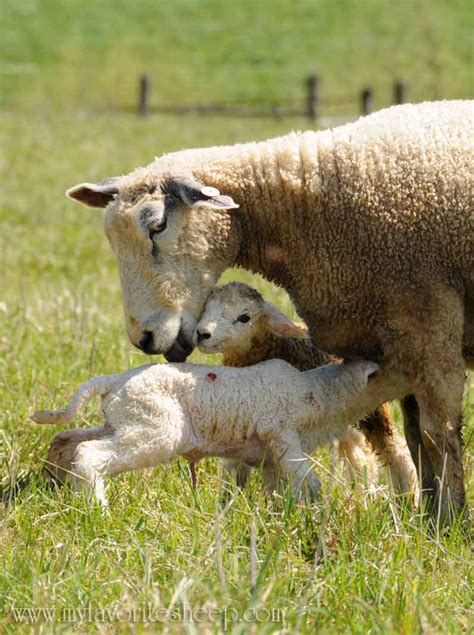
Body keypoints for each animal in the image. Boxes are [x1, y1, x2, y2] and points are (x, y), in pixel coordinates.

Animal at [31, 360, 380, 510]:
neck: (318, 391)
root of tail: (112, 381)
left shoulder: (270, 455)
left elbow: (278, 484)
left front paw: (278, 511)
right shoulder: (280, 431)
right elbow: (307, 479)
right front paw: (312, 509)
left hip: (121, 423)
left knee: (66, 440)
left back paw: (54, 485)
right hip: (155, 431)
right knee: (89, 453)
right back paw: (97, 508)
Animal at [67, 100, 474, 520]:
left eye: (158, 225)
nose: (143, 338)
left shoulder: (426, 318)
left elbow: (437, 435)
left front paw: (449, 521)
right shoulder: (396, 336)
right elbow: (415, 436)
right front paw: (426, 516)